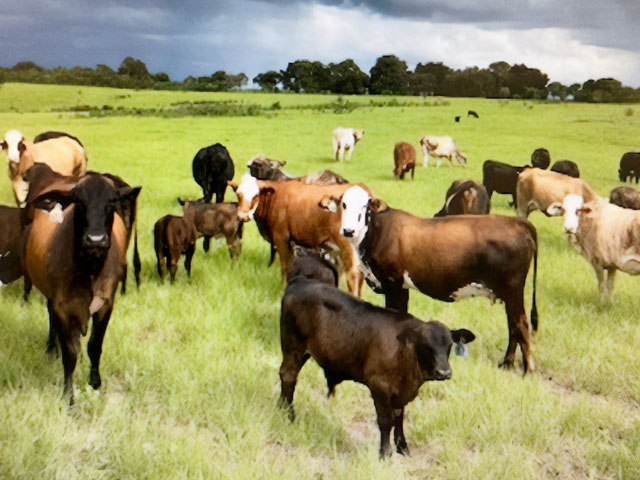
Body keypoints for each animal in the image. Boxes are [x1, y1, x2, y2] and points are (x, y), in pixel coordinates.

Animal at [20, 172, 139, 404]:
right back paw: (51, 347)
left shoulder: (106, 304)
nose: (95, 239)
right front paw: (68, 397)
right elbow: (70, 354)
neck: (89, 270)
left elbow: (95, 346)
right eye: (79, 201)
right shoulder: (62, 305)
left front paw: (95, 383)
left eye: (111, 200)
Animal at [234, 171, 364, 294]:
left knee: (354, 274)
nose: (242, 216)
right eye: (238, 194)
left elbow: (285, 266)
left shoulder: (281, 238)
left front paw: (283, 288)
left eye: (256, 195)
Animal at [280, 276, 476, 456]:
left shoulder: (400, 393)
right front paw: (385, 453)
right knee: (288, 376)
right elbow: (385, 421)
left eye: (449, 345)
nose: (444, 372)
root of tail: (299, 281)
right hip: (293, 348)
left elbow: (399, 417)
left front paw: (403, 448)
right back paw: (288, 416)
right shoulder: (379, 387)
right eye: (426, 345)